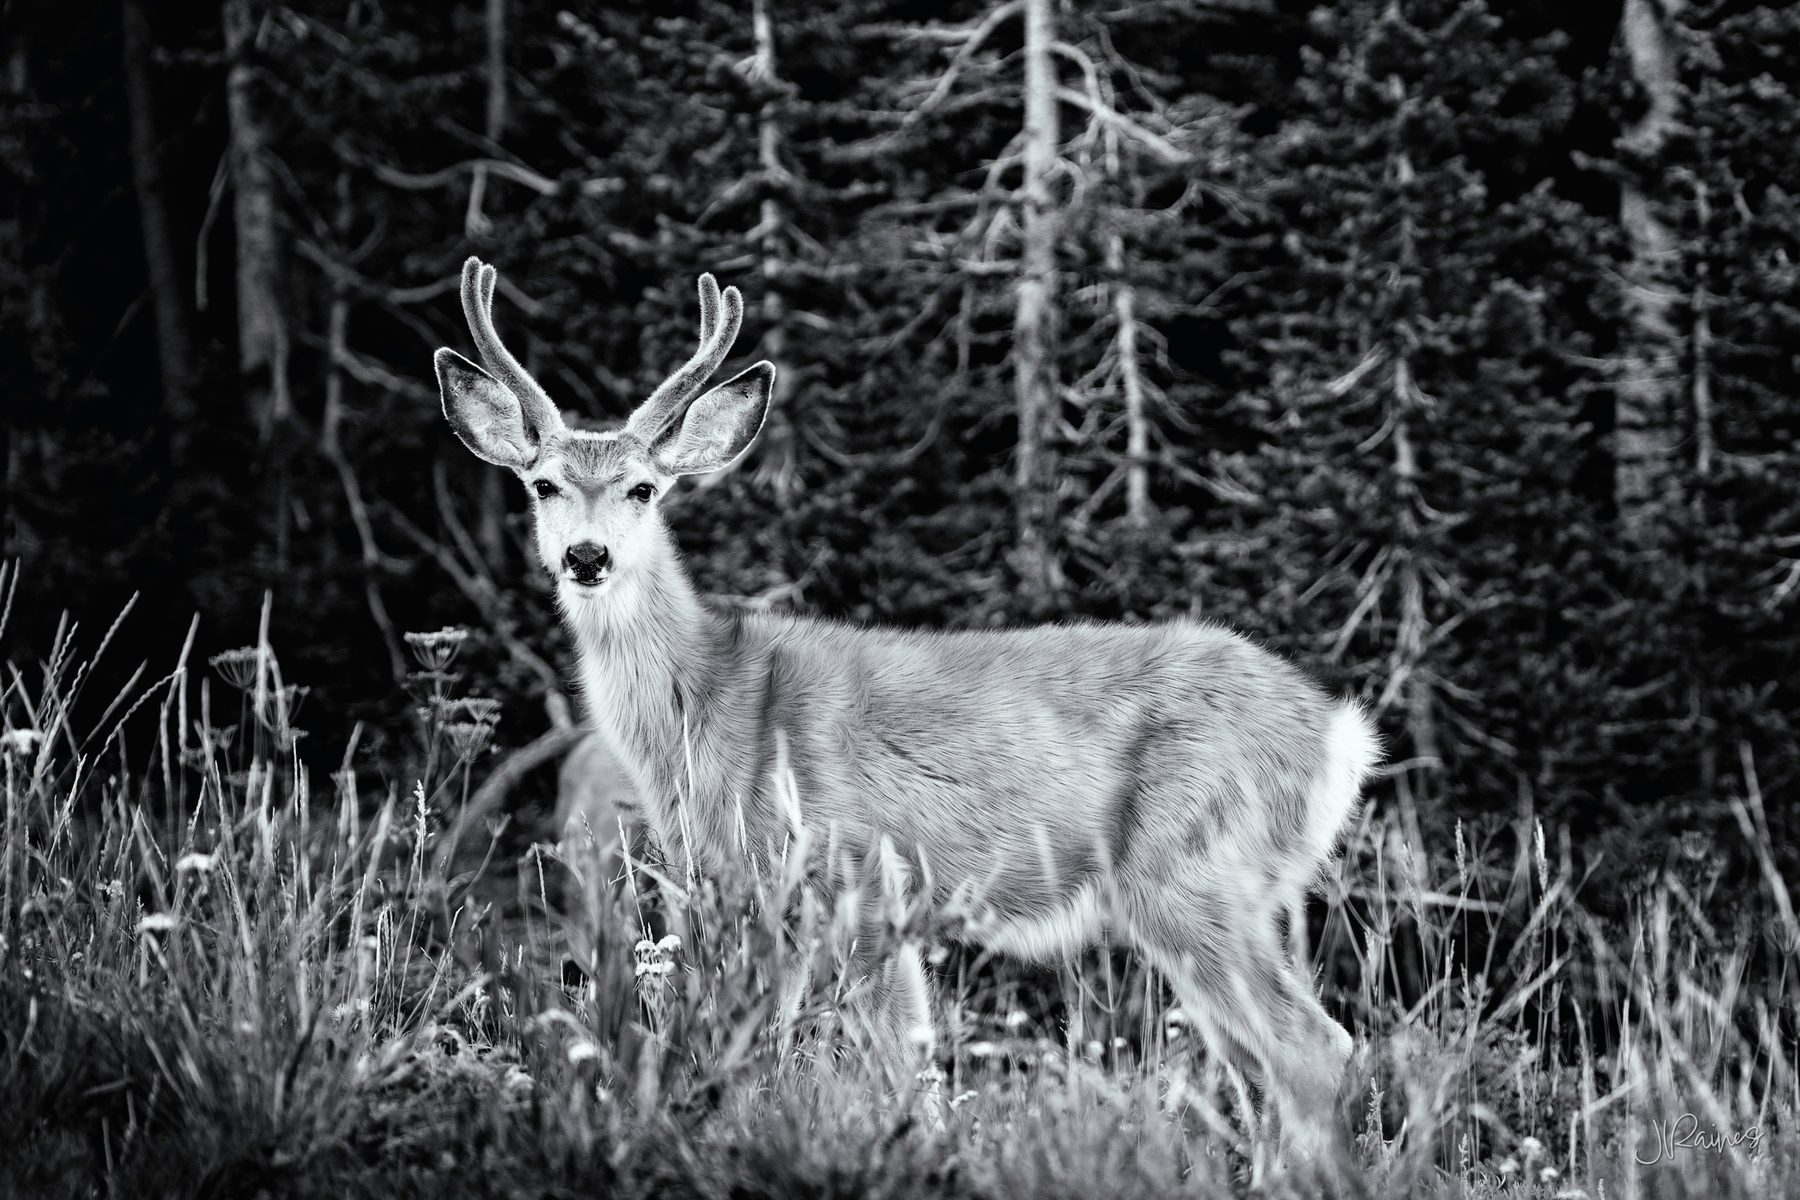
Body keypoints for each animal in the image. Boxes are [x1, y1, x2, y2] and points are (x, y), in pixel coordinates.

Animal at [432, 256, 1381, 1162]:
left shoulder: (861, 878)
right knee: (1265, 1068)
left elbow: (902, 1068)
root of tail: (1337, 732)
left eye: (642, 489)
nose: (587, 557)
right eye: (543, 484)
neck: (712, 703)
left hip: (1194, 872)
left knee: (1312, 1050)